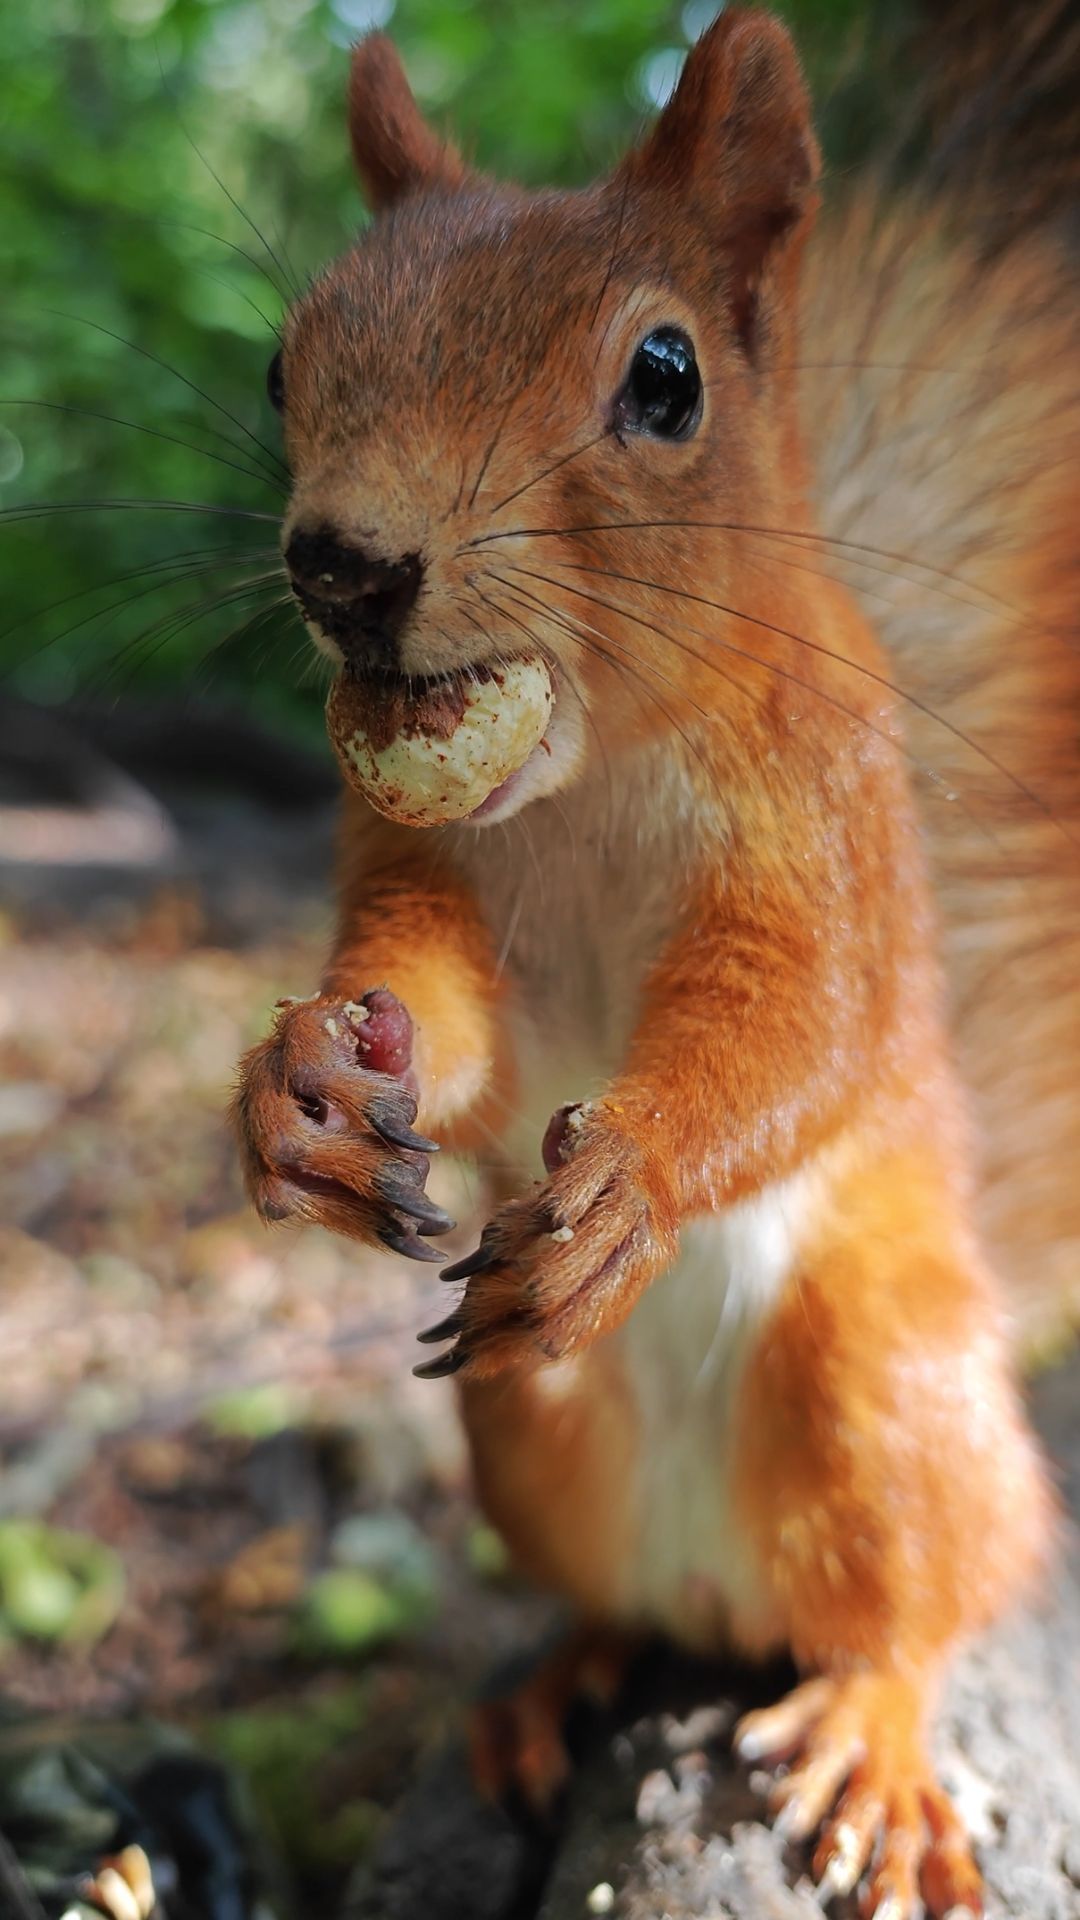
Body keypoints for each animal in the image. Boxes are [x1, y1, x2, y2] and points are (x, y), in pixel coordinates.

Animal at [233, 11, 1080, 1916]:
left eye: (667, 379)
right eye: (281, 367)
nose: (343, 564)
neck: (593, 771)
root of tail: (726, 1602)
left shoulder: (827, 831)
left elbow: (802, 1022)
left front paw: (637, 1171)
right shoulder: (422, 869)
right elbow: (443, 1015)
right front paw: (302, 1082)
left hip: (876, 1379)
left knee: (930, 1597)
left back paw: (876, 1734)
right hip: (524, 1432)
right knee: (613, 1593)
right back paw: (556, 1681)